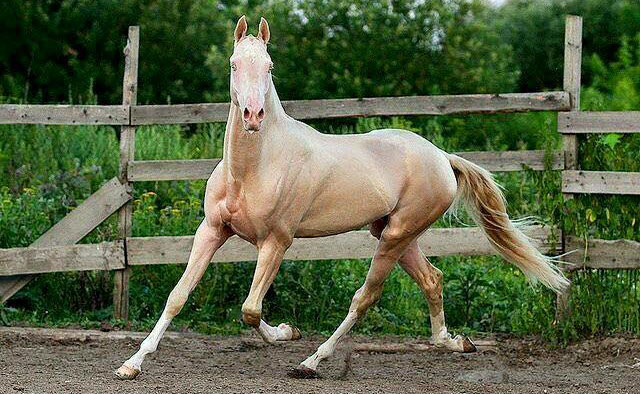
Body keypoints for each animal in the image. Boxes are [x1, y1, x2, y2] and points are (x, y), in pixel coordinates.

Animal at [114, 16, 564, 380]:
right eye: (233, 63)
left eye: (270, 67)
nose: (253, 116)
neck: (253, 169)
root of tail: (442, 157)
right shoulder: (211, 231)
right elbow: (178, 296)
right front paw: (131, 366)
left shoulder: (276, 242)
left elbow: (251, 309)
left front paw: (286, 332)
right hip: (396, 234)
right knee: (433, 279)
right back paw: (454, 342)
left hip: (395, 237)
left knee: (364, 298)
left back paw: (311, 362)